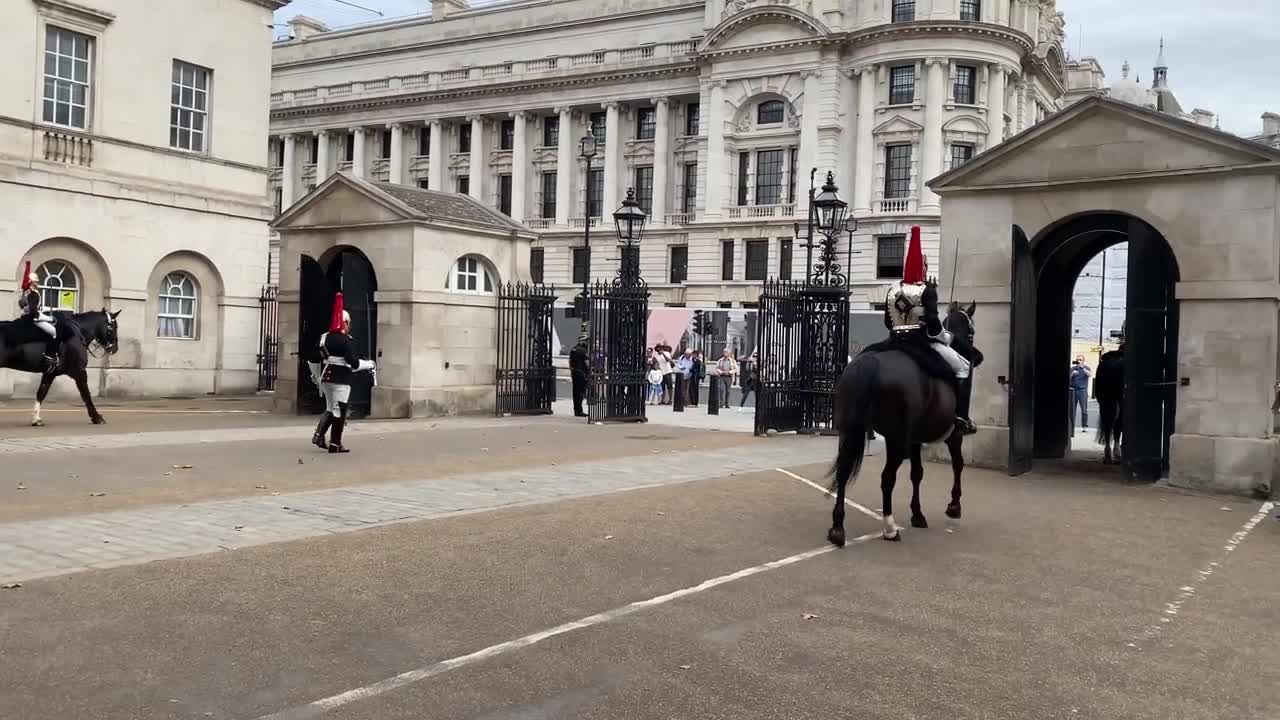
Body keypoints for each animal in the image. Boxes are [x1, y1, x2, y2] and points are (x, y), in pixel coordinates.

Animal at [829, 293, 977, 543]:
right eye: (971, 332)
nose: (974, 353)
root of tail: (870, 362)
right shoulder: (953, 436)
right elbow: (958, 464)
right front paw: (954, 506)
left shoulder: (914, 439)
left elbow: (917, 473)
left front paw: (917, 514)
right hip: (897, 440)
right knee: (887, 478)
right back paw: (889, 528)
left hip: (851, 432)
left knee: (843, 471)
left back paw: (838, 528)